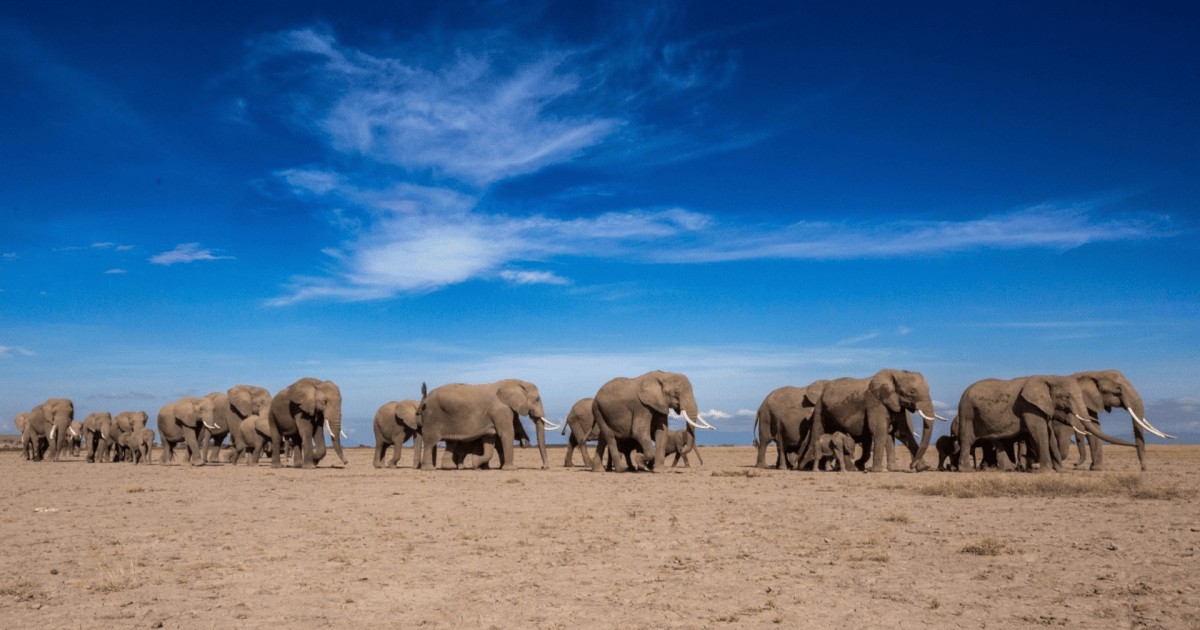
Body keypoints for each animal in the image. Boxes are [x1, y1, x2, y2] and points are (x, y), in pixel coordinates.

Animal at [418, 379, 556, 471]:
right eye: (537, 399)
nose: (543, 467)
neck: (516, 382)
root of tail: (425, 399)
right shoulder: (500, 410)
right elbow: (506, 434)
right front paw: (511, 469)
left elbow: (489, 438)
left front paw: (476, 464)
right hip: (432, 417)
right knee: (430, 442)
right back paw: (429, 469)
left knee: (450, 442)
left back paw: (449, 467)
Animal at [805, 369, 941, 473]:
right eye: (912, 392)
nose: (911, 466)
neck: (896, 373)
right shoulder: (875, 402)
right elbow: (879, 430)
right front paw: (879, 471)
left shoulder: (896, 403)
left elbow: (901, 432)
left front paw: (921, 467)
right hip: (820, 408)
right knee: (818, 432)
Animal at [955, 374, 1137, 473]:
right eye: (1067, 396)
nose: (1135, 445)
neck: (1048, 377)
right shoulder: (1029, 406)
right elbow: (1039, 432)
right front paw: (1045, 471)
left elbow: (1049, 434)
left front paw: (1059, 470)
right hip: (967, 411)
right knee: (967, 439)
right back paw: (966, 470)